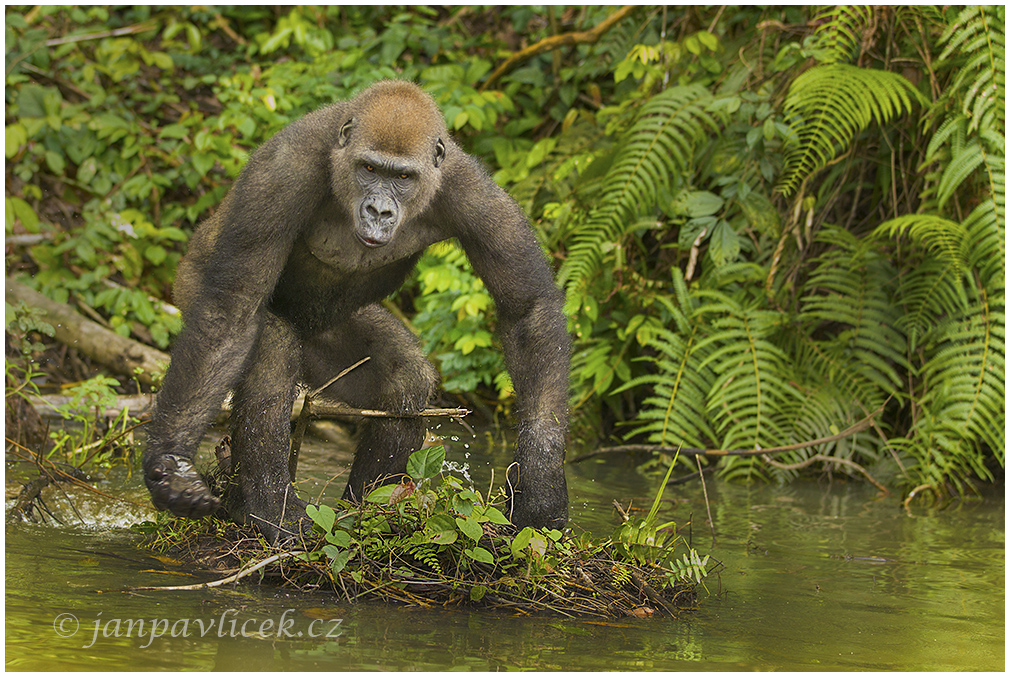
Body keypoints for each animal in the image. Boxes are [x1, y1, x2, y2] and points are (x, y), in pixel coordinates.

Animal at [141, 80, 573, 545]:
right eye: (369, 168)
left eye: (402, 177)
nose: (379, 210)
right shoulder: (280, 173)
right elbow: (233, 308)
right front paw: (170, 463)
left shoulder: (475, 195)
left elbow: (527, 310)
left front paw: (541, 483)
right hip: (189, 281)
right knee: (264, 350)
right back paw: (264, 507)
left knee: (403, 379)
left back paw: (367, 510)